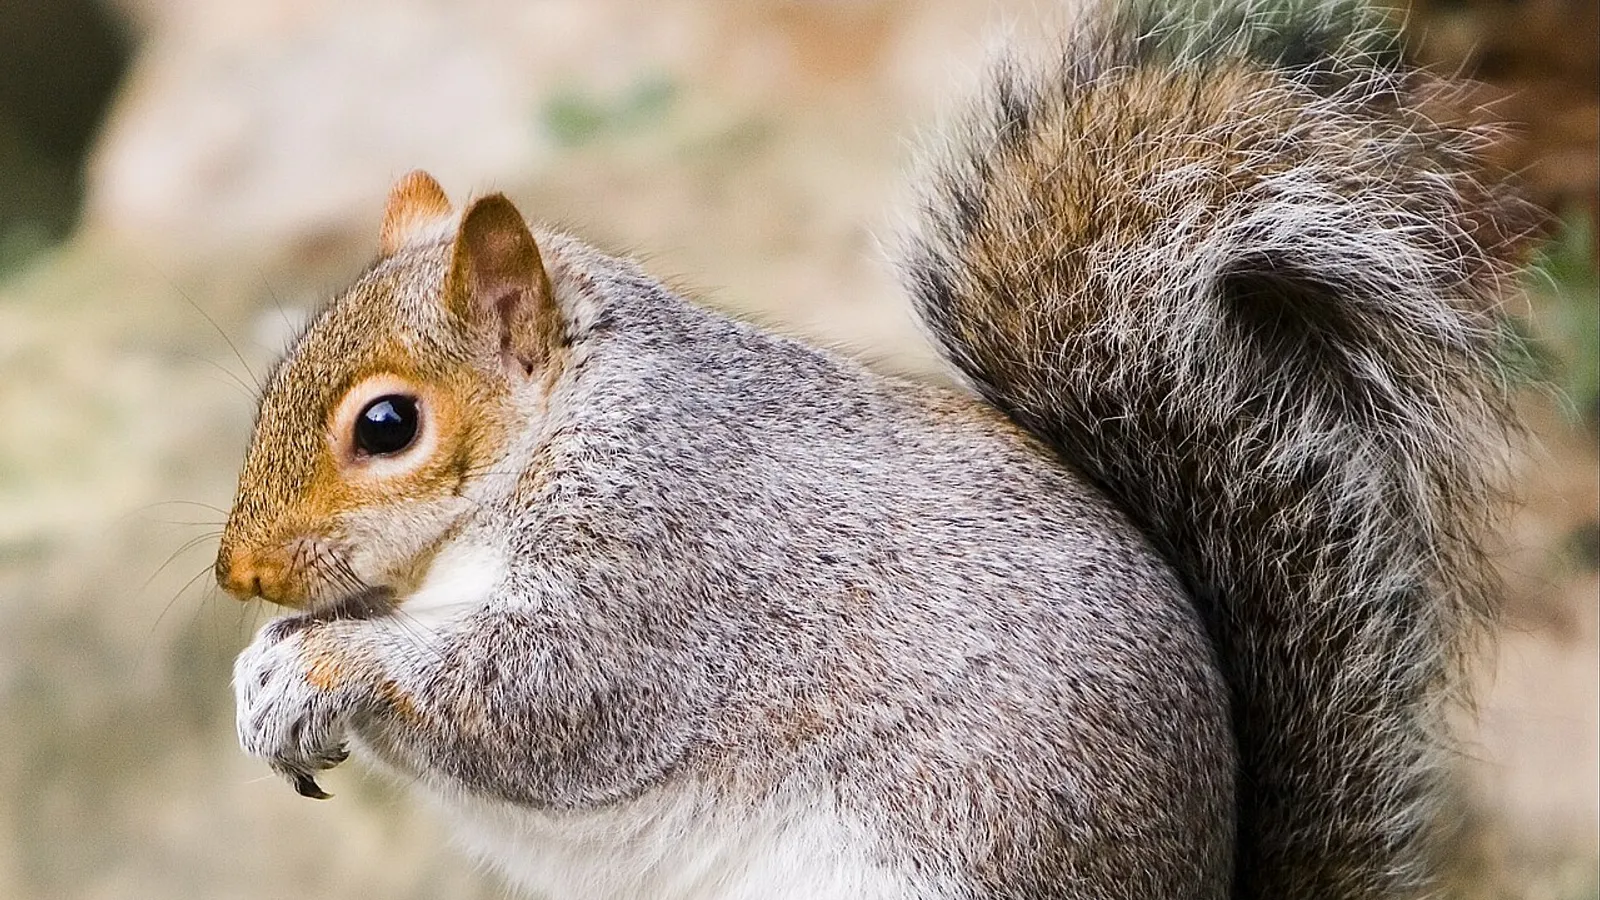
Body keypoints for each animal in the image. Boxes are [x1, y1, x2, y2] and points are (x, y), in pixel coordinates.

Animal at [215, 1, 1537, 898]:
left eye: (387, 426)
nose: (240, 574)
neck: (551, 442)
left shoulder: (661, 569)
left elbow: (540, 701)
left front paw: (323, 664)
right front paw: (267, 665)